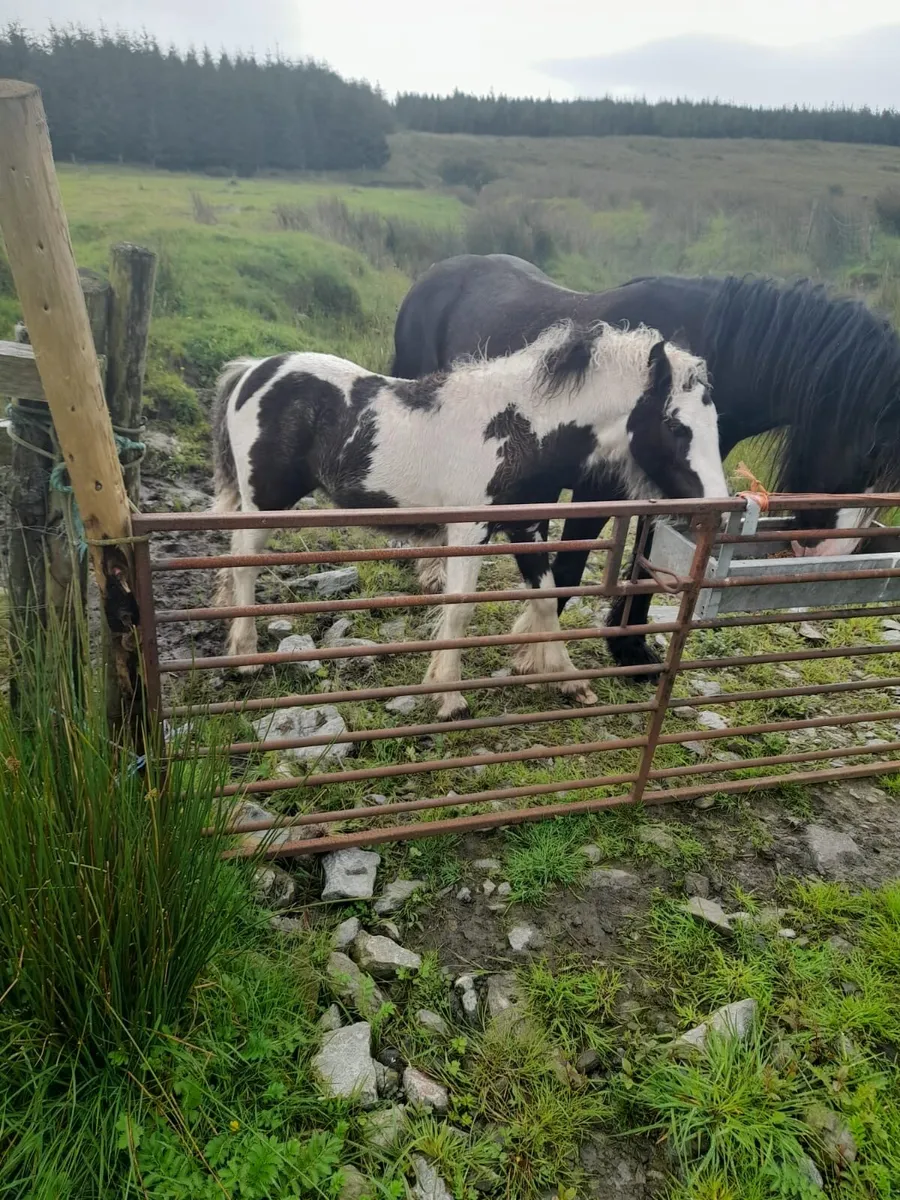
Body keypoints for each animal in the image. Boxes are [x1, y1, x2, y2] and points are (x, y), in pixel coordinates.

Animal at [211, 320, 728, 719]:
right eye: (675, 425)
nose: (719, 510)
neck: (519, 429)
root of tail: (252, 370)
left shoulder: (527, 527)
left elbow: (546, 599)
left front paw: (568, 680)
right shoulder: (469, 530)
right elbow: (459, 608)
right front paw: (449, 696)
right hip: (264, 504)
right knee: (244, 567)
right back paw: (247, 656)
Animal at [392, 254, 900, 674]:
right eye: (871, 452)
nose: (830, 554)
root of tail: (435, 274)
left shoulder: (676, 485)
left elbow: (653, 564)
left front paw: (629, 648)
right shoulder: (600, 489)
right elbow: (571, 568)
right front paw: (537, 653)